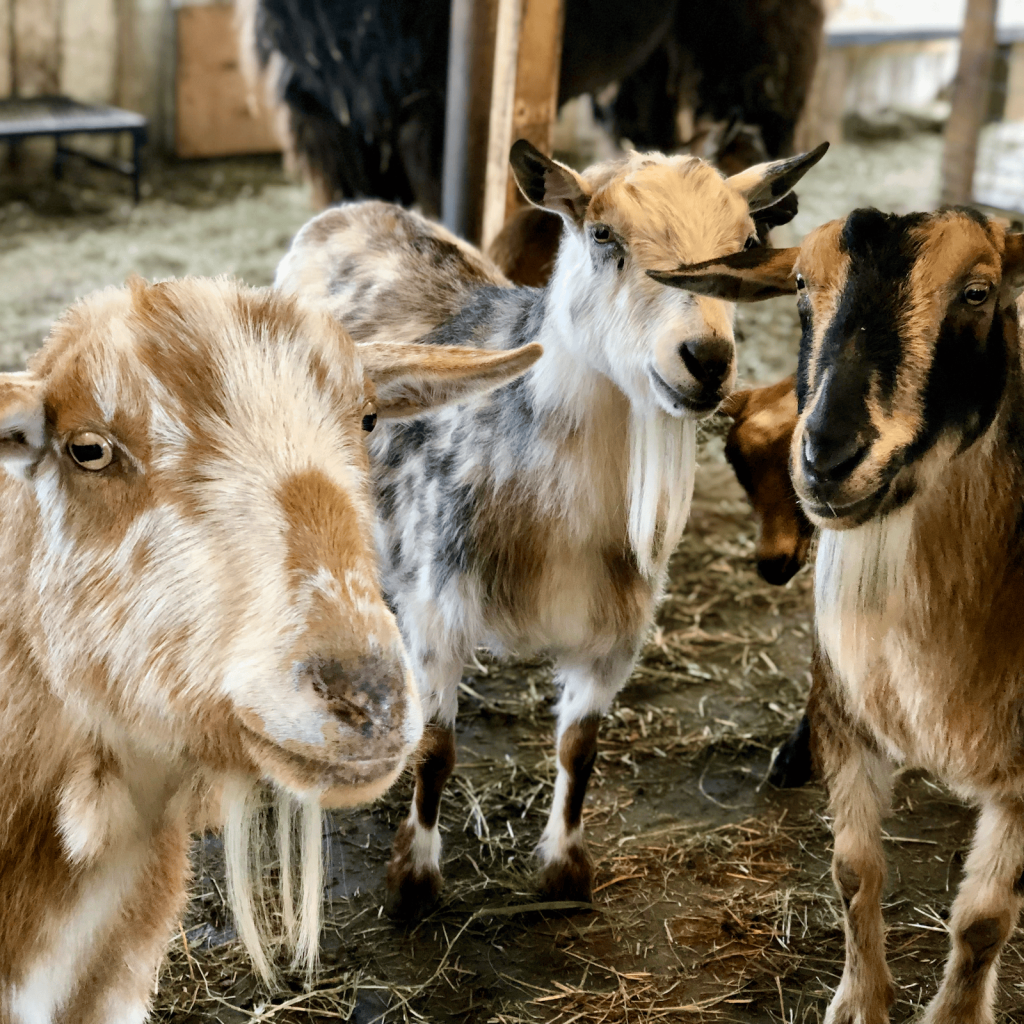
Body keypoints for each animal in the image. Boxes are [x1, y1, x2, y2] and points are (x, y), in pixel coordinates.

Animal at [275, 139, 828, 917]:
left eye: (747, 245)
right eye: (603, 235)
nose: (706, 360)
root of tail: (349, 210)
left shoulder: (617, 630)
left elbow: (580, 747)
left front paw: (565, 870)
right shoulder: (440, 608)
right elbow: (437, 751)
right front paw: (415, 881)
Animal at [654, 207, 1024, 1024]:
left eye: (978, 291)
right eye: (799, 284)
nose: (827, 456)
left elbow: (984, 920)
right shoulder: (846, 709)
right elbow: (854, 871)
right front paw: (858, 1003)